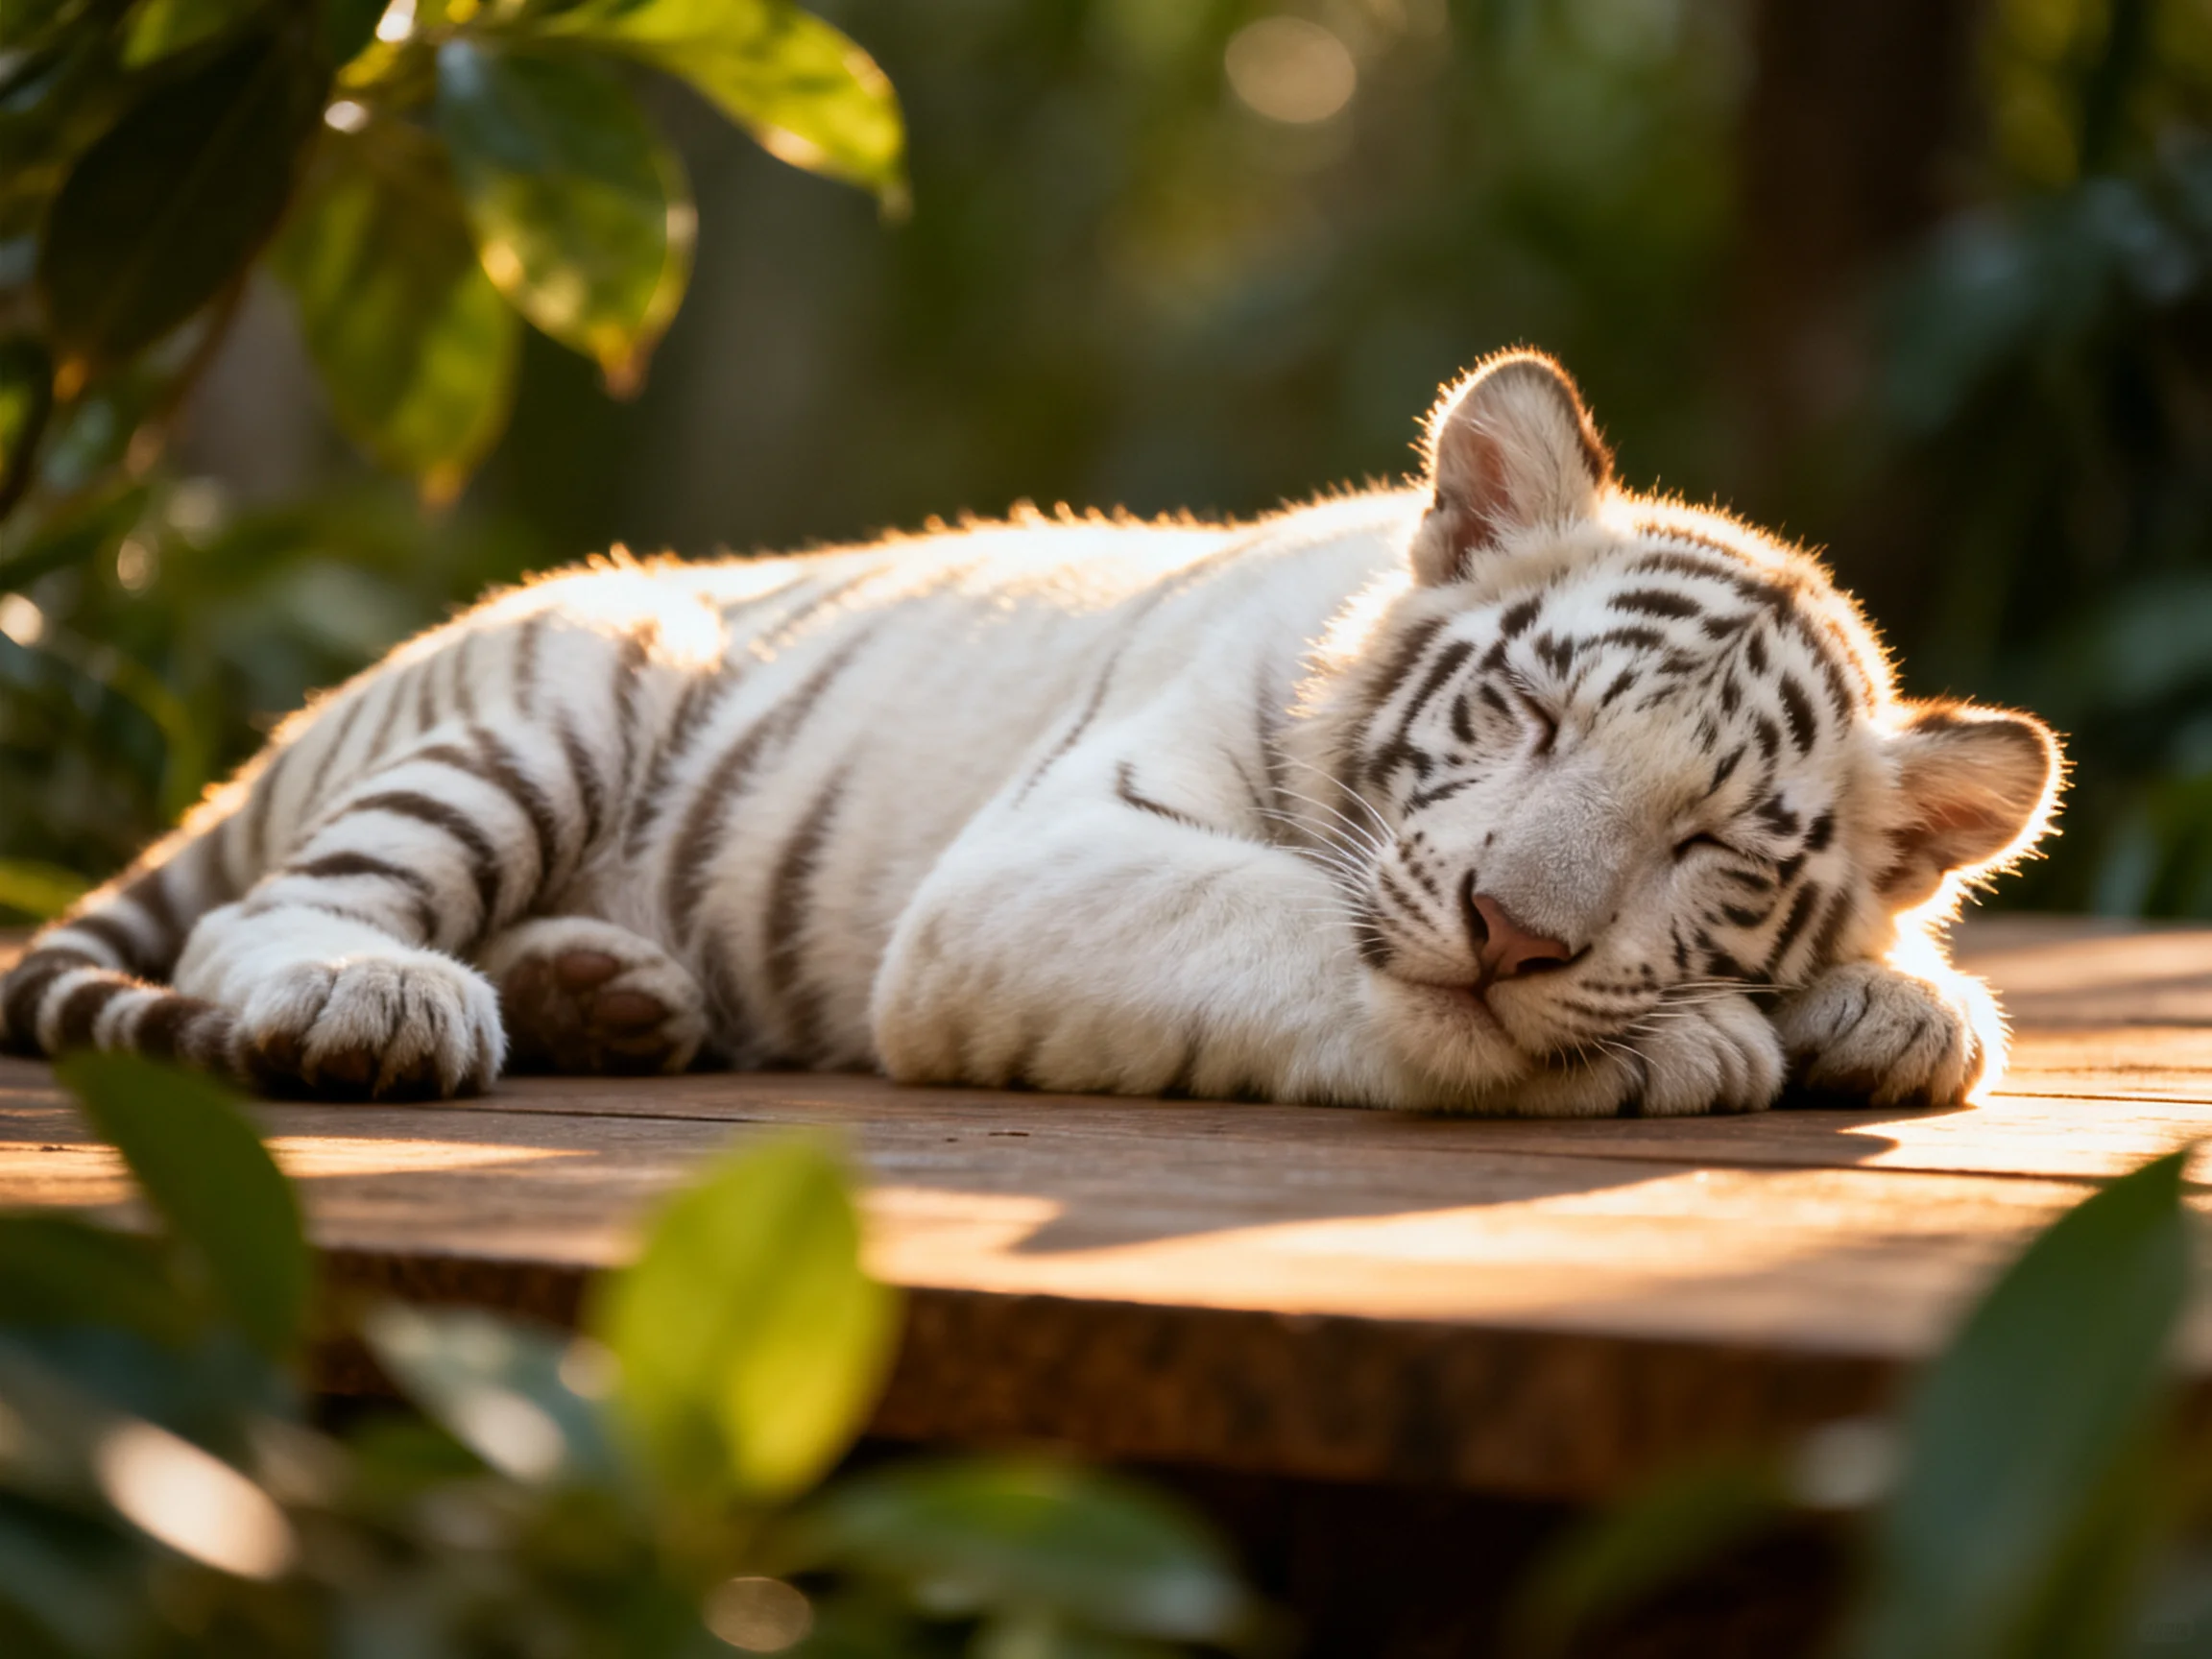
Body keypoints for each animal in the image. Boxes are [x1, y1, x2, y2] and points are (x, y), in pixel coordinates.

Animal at [0, 351, 2061, 1117]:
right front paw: (1695, 1039)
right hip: (580, 666)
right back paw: (382, 995)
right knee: (256, 917)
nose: (1515, 933)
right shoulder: (1048, 860)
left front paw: (1891, 1001)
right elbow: (1297, 923)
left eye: (1710, 841)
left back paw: (604, 993)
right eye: (1534, 712)